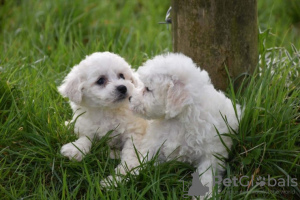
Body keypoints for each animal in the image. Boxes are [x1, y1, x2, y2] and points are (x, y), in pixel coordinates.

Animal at [129, 52, 241, 197]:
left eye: (148, 89)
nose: (129, 98)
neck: (177, 120)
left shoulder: (211, 154)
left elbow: (207, 177)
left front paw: (205, 196)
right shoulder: (154, 144)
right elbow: (142, 161)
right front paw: (122, 179)